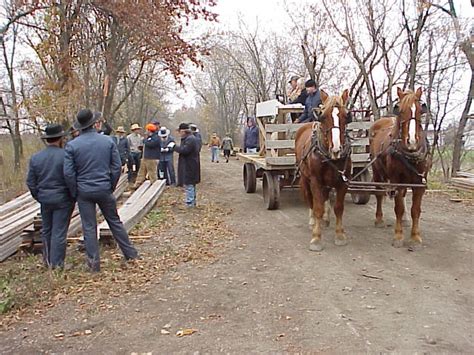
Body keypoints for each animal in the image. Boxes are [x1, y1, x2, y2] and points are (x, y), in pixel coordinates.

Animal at [296, 90, 352, 252]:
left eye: (346, 116)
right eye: (324, 116)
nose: (336, 149)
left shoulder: (343, 181)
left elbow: (338, 207)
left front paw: (340, 235)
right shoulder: (315, 181)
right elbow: (318, 208)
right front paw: (316, 238)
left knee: (325, 196)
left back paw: (325, 220)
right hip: (305, 178)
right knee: (310, 200)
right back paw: (312, 221)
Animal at [368, 87, 432, 248]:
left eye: (420, 110)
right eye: (401, 110)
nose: (412, 141)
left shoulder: (420, 182)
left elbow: (415, 210)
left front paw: (415, 237)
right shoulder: (396, 180)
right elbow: (398, 208)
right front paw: (398, 236)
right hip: (377, 172)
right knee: (379, 194)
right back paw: (379, 219)